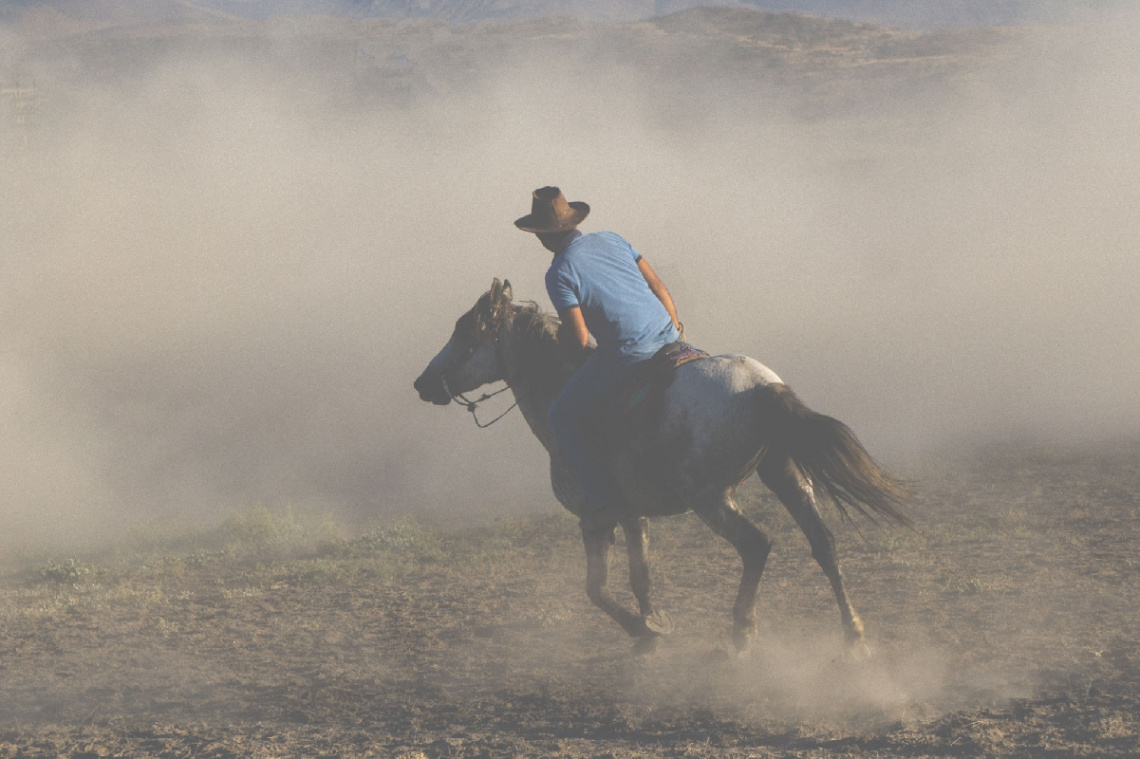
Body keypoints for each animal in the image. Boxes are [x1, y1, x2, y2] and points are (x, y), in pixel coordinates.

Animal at [412, 279, 907, 656]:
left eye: (466, 338)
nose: (421, 383)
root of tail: (761, 388)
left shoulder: (595, 519)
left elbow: (596, 588)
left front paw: (644, 630)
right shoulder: (634, 515)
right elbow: (640, 577)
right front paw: (656, 623)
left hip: (710, 498)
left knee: (757, 545)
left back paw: (742, 632)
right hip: (785, 475)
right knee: (823, 544)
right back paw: (854, 636)